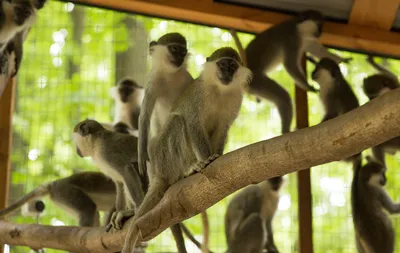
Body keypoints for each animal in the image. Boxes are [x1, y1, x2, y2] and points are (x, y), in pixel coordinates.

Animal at [122, 47, 253, 253]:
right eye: (222, 64)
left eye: (232, 66)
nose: (226, 73)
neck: (220, 90)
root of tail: (159, 172)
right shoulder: (198, 96)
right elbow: (192, 122)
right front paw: (207, 160)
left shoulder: (235, 100)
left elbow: (223, 129)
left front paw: (217, 156)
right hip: (168, 158)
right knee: (178, 121)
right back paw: (190, 169)